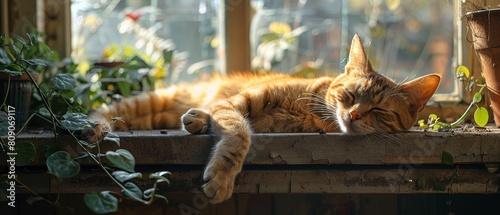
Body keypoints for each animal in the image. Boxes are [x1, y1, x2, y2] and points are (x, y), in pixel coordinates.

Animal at [90, 34, 442, 203]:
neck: (314, 113)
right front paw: (222, 176)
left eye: (379, 110)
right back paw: (93, 126)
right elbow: (237, 135)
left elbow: (238, 129)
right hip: (147, 101)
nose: (353, 114)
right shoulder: (236, 104)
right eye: (351, 96)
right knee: (101, 110)